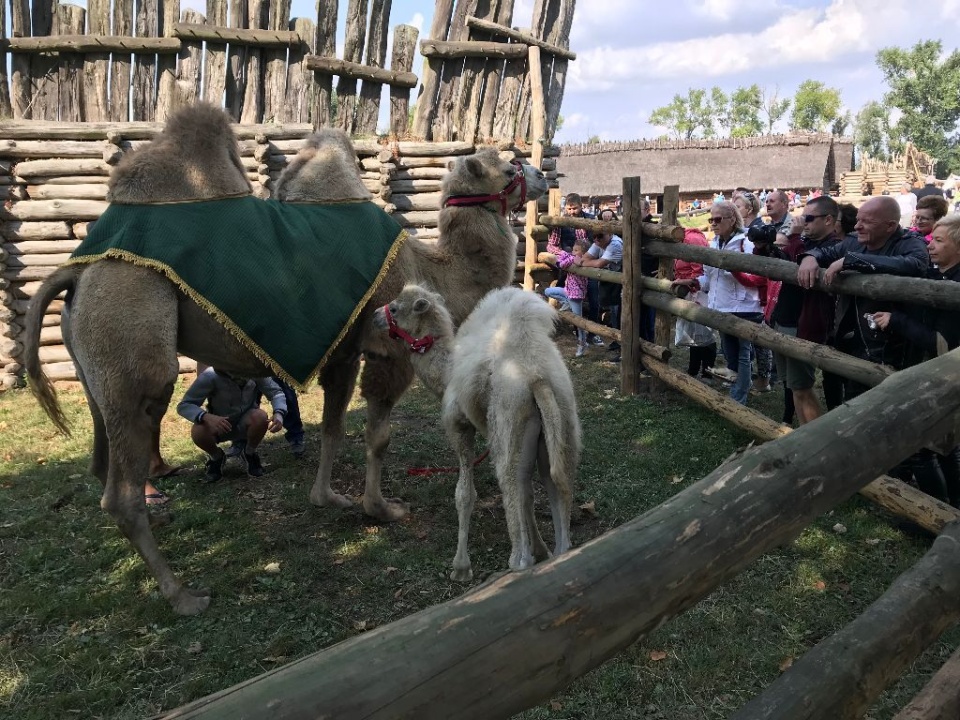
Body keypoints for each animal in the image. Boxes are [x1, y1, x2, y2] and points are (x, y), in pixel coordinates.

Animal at [24, 104, 548, 616]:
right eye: (509, 166)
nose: (543, 176)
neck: (434, 269)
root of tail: (75, 273)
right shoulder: (389, 348)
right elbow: (378, 436)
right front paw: (382, 509)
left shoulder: (343, 352)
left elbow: (335, 427)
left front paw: (328, 497)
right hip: (131, 331)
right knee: (125, 479)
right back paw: (184, 596)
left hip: (95, 362)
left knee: (103, 458)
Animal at [374, 284, 580, 584]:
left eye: (396, 307)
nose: (375, 315)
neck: (447, 372)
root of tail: (537, 380)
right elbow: (528, 495)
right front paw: (542, 548)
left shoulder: (459, 426)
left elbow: (464, 494)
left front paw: (460, 567)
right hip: (561, 423)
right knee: (554, 489)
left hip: (508, 423)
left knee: (510, 491)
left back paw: (514, 564)